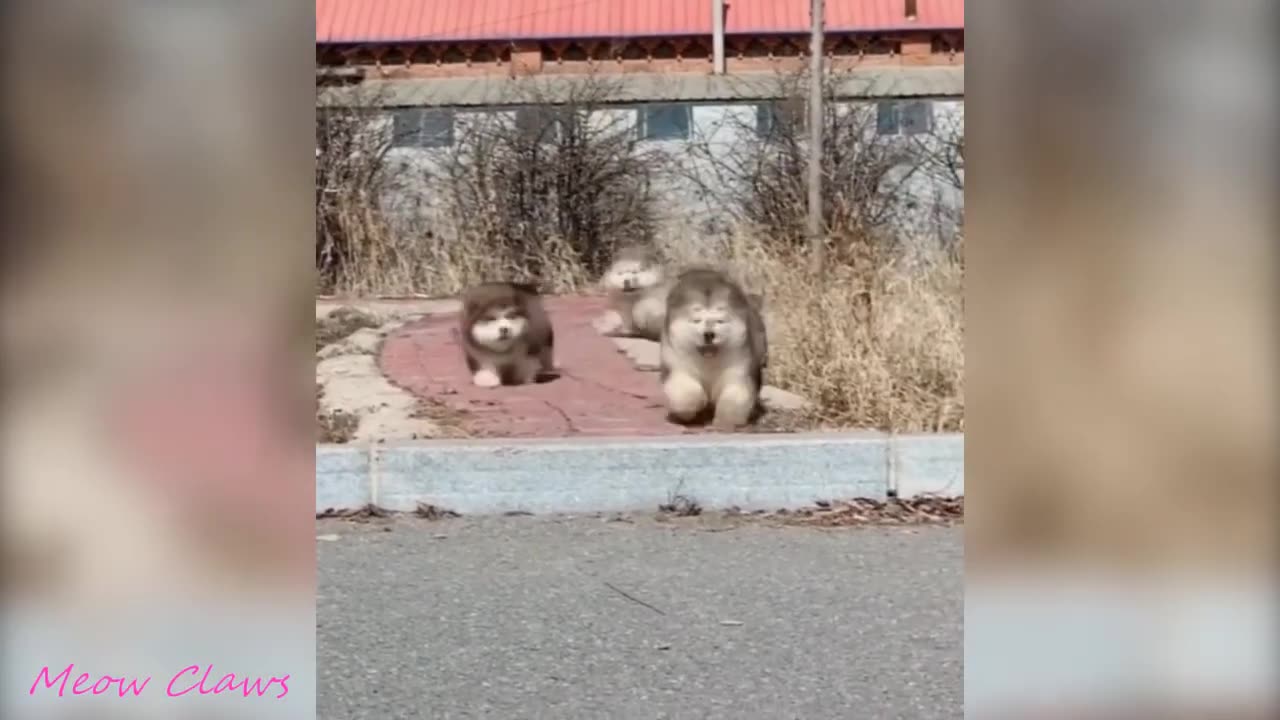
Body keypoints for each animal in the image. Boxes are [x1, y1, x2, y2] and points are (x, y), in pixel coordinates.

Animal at [655, 267, 762, 425]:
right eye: (696, 320)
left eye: (720, 321)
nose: (709, 334)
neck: (708, 362)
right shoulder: (676, 364)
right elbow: (686, 392)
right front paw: (693, 406)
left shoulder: (740, 367)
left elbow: (735, 395)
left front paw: (726, 420)